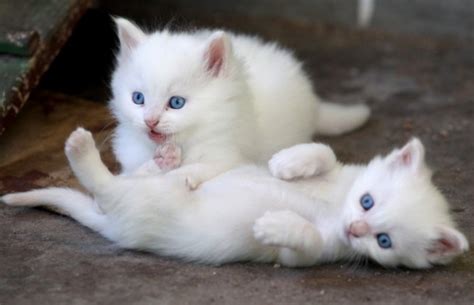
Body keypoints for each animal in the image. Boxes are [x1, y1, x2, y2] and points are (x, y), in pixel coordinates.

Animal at [0, 129, 466, 268]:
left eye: (383, 241)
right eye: (366, 201)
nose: (356, 227)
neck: (338, 205)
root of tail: (112, 226)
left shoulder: (313, 254)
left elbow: (307, 240)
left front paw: (276, 224)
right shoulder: (343, 172)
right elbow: (326, 151)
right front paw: (290, 162)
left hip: (147, 203)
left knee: (107, 188)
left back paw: (83, 151)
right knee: (122, 182)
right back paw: (164, 157)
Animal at [109, 17, 368, 186]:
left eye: (176, 103)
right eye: (138, 98)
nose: (150, 121)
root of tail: (314, 104)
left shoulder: (232, 157)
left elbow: (203, 167)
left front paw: (177, 174)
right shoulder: (130, 161)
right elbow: (131, 175)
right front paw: (160, 164)